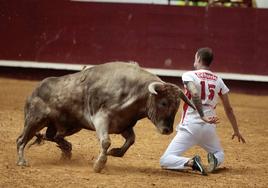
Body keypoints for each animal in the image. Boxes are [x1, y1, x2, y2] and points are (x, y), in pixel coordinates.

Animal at [16, 61, 195, 172]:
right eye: (163, 103)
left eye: (177, 106)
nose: (167, 130)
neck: (136, 93)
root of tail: (35, 90)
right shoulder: (101, 119)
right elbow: (106, 141)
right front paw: (99, 165)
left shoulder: (124, 125)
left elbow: (130, 141)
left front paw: (114, 152)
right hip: (35, 120)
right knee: (22, 140)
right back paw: (22, 161)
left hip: (71, 125)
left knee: (53, 136)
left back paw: (66, 150)